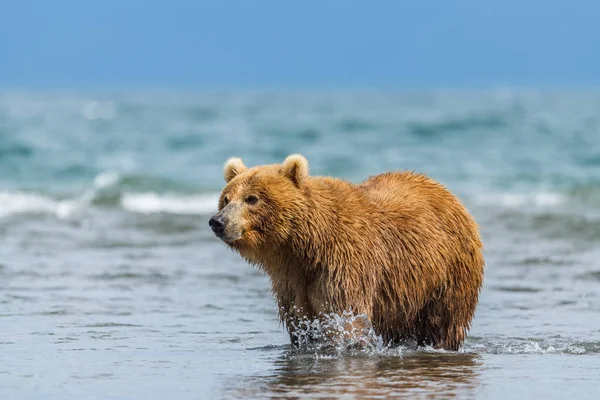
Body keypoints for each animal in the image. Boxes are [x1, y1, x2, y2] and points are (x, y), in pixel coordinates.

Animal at [210, 155, 482, 348]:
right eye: (226, 199)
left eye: (252, 198)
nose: (218, 221)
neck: (304, 249)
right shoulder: (291, 282)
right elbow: (300, 323)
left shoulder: (344, 264)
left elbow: (344, 318)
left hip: (446, 274)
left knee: (443, 322)